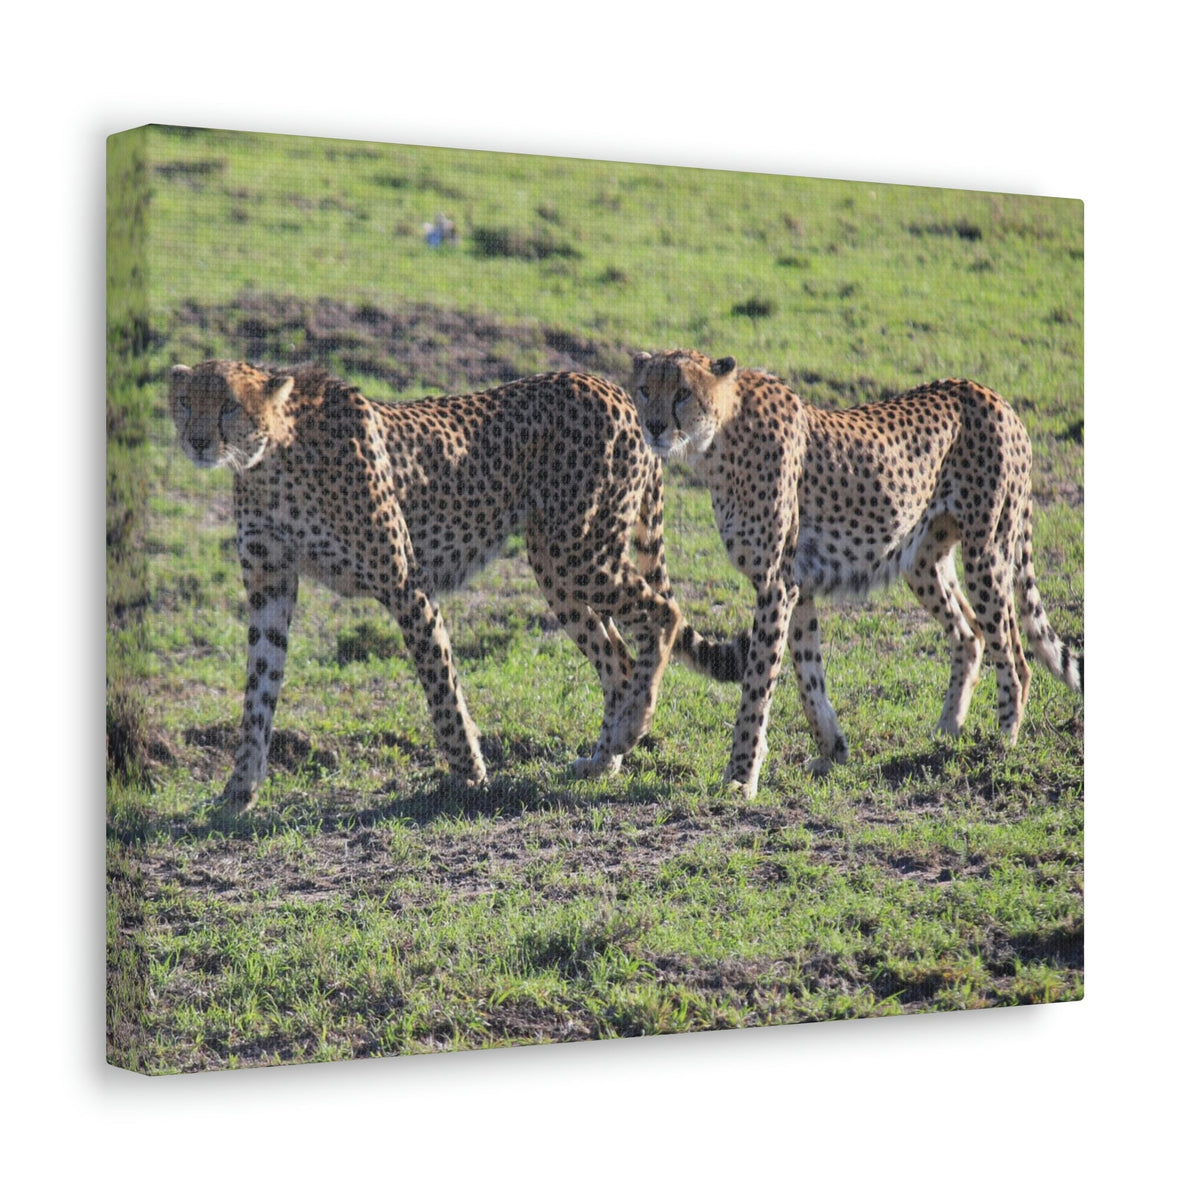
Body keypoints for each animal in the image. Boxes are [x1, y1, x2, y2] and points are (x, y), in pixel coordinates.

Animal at [168, 360, 741, 813]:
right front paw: (238, 791)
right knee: (619, 658)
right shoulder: (270, 588)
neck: (270, 460)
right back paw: (604, 759)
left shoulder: (405, 583)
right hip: (556, 567)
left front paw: (469, 773)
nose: (197, 442)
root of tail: (613, 387)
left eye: (228, 407)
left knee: (664, 613)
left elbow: (440, 682)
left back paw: (630, 728)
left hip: (578, 552)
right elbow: (258, 693)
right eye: (185, 402)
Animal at [630, 348, 1083, 799]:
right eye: (645, 389)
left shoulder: (777, 584)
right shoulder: (798, 584)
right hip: (921, 559)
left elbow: (759, 682)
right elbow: (808, 675)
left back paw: (1002, 742)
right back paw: (947, 731)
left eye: (683, 392)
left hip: (987, 551)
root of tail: (992, 395)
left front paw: (741, 774)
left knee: (1014, 655)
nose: (653, 426)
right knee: (970, 634)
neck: (717, 438)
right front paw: (832, 751)